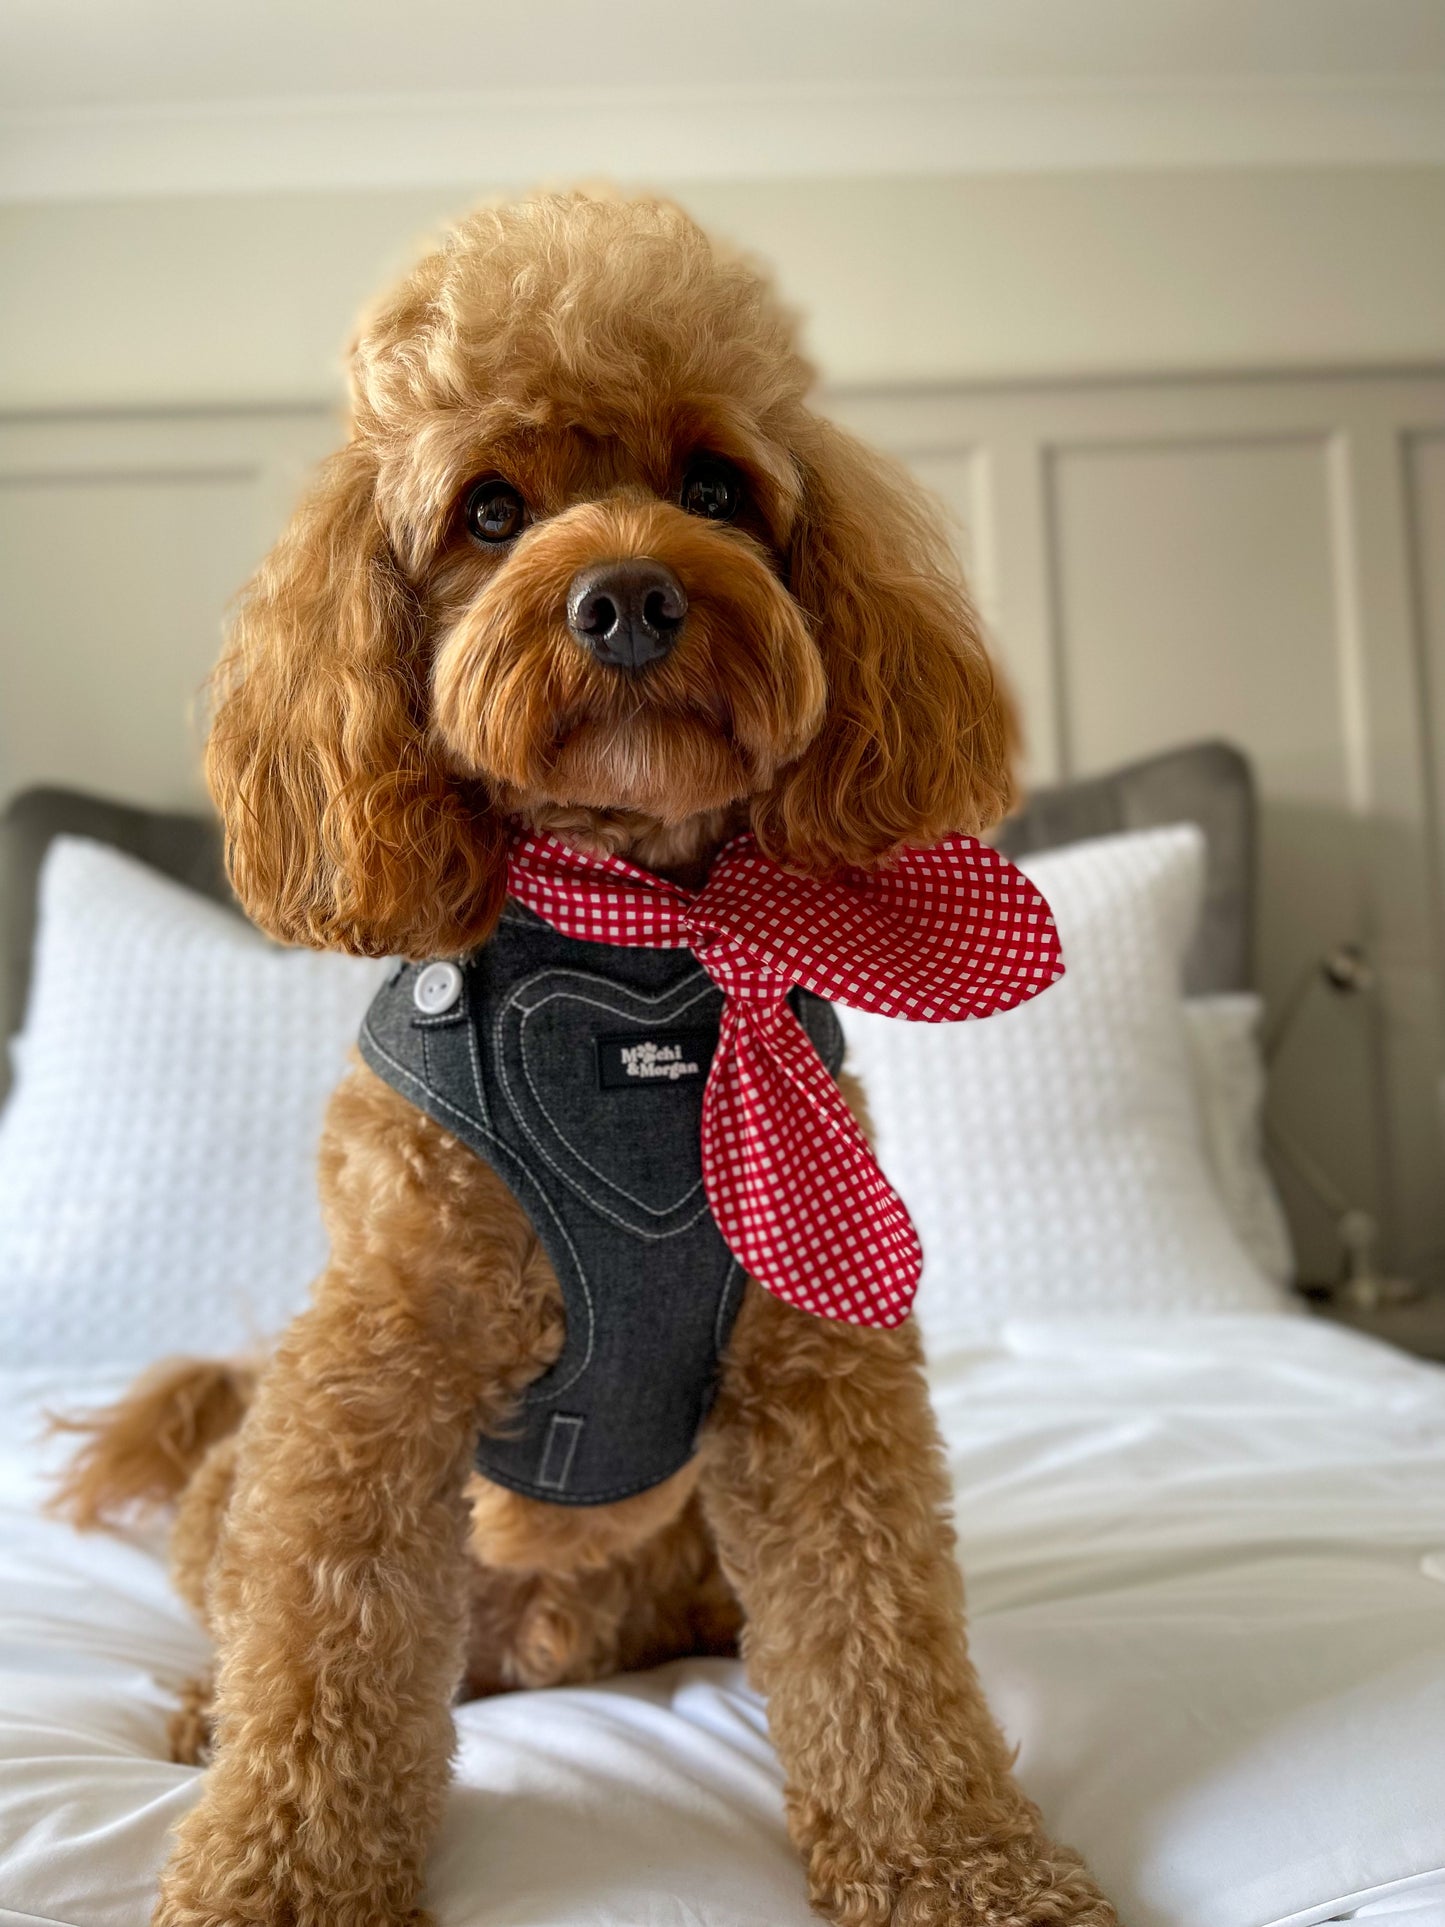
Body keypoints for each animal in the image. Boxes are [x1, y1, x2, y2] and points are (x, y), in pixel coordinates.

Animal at [56, 191, 1117, 1927]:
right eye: (490, 509)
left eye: (715, 487)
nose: (628, 595)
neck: (634, 964)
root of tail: (545, 1655)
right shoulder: (370, 1378)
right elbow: (321, 1656)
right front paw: (275, 1875)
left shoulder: (816, 1375)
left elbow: (881, 1643)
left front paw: (965, 1863)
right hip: (248, 1463)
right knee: (251, 1615)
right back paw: (207, 1710)